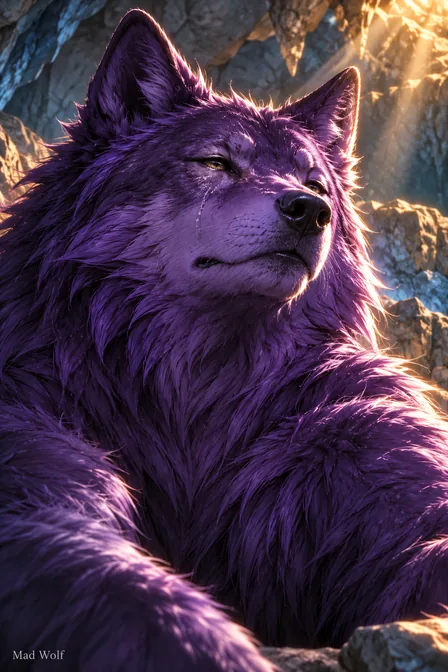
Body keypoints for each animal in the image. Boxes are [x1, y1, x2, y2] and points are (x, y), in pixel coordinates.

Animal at [1, 8, 448, 671]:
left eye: (315, 181)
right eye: (215, 163)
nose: (308, 210)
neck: (189, 398)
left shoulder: (354, 448)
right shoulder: (31, 464)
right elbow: (107, 577)